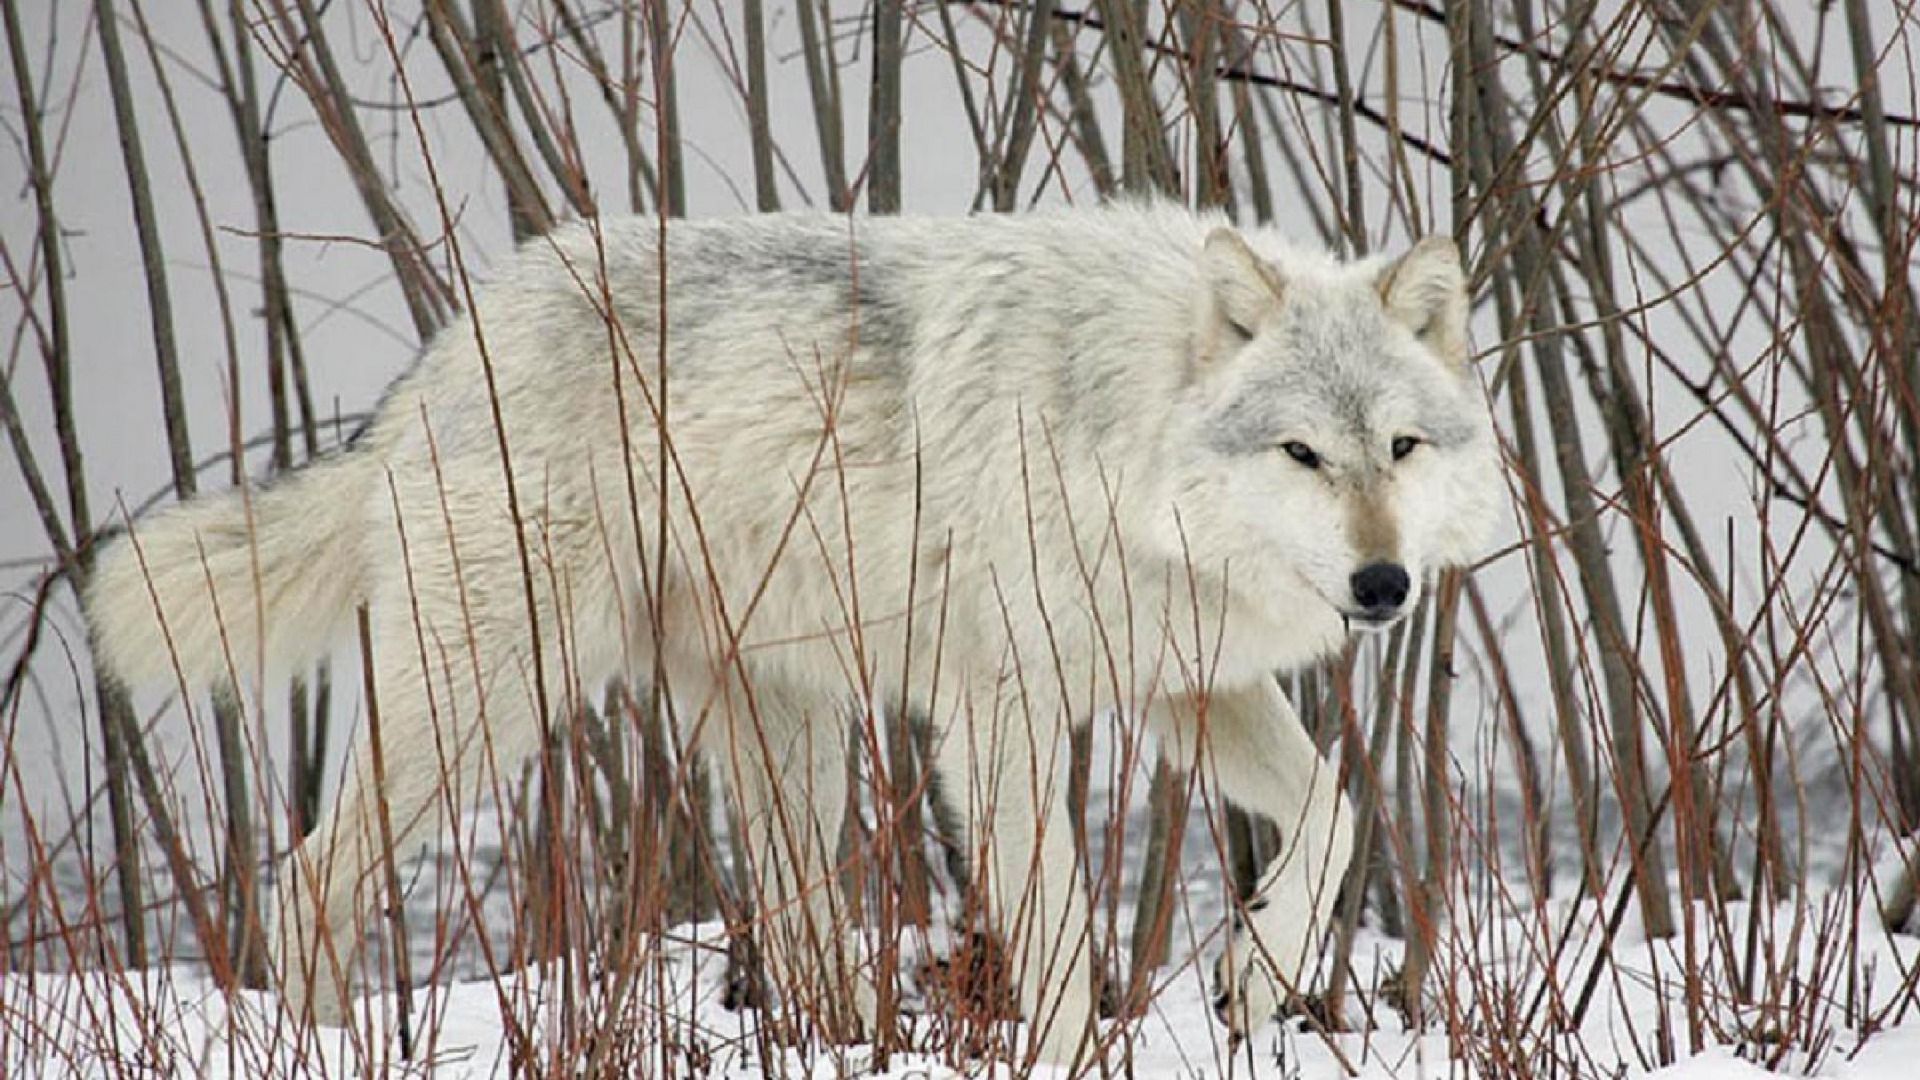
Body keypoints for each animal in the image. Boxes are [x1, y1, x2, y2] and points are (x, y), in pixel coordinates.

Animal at [84, 203, 1501, 1067]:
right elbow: (1051, 931)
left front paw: (1255, 980)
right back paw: (328, 1050)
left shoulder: (1180, 687)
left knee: (802, 933)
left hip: (786, 749)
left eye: (1400, 448)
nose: (1383, 585)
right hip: (488, 702)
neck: (1118, 420)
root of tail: (448, 344)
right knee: (308, 876)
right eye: (1302, 453)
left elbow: (1333, 817)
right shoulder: (1001, 716)